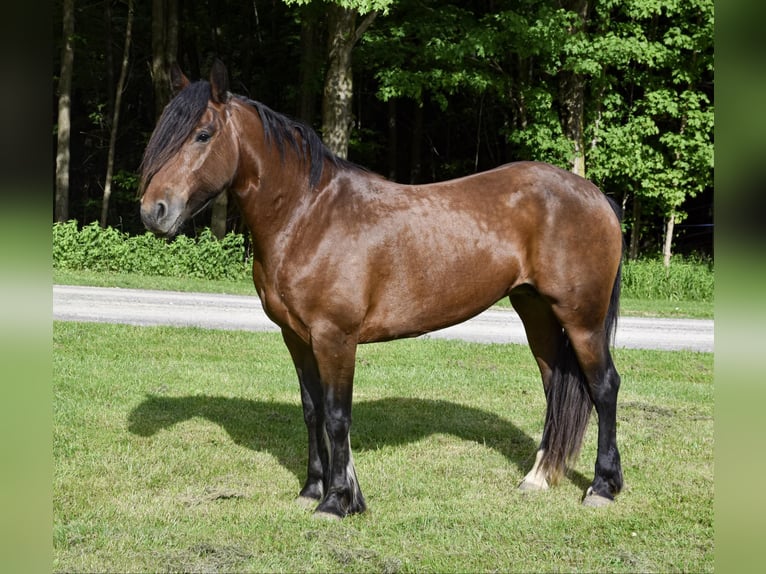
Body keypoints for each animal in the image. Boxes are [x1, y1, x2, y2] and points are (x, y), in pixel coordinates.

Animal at [141, 60, 628, 520]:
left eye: (203, 134)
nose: (153, 211)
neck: (308, 216)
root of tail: (597, 197)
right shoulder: (296, 337)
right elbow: (312, 410)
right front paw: (312, 489)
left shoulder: (335, 338)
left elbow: (338, 416)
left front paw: (337, 501)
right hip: (536, 312)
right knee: (555, 386)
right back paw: (538, 478)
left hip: (582, 320)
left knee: (603, 387)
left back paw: (602, 488)